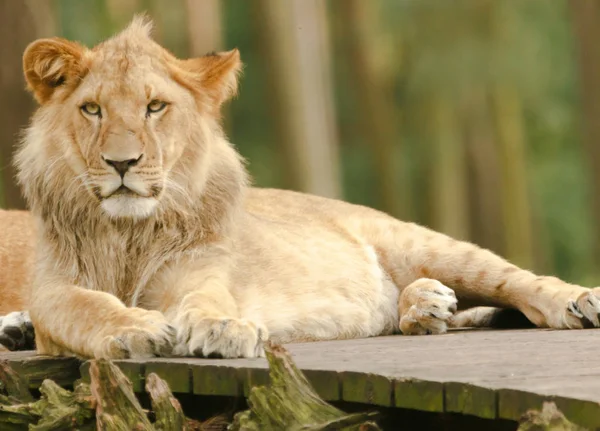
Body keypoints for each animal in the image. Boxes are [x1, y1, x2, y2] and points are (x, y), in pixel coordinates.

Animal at [11, 16, 600, 362]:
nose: (122, 163)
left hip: (428, 245)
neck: (130, 232)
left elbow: (207, 300)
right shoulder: (52, 292)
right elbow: (86, 307)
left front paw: (223, 328)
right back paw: (424, 307)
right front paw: (136, 329)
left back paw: (578, 301)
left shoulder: (201, 271)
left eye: (155, 107)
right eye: (92, 110)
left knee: (518, 283)